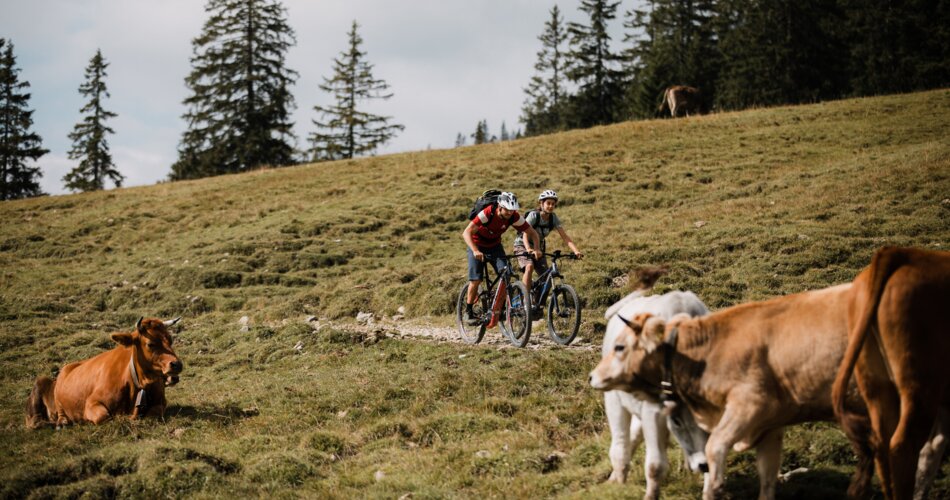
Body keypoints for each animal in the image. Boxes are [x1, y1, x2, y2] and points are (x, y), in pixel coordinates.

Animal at [25, 316, 184, 430]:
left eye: (170, 339)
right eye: (150, 344)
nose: (177, 364)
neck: (138, 384)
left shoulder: (161, 402)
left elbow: (153, 413)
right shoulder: (91, 403)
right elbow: (104, 416)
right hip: (57, 398)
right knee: (60, 414)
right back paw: (62, 422)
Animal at [608, 290, 712, 500]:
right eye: (677, 420)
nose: (702, 464)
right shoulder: (654, 413)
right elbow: (655, 466)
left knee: (634, 434)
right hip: (614, 400)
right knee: (620, 442)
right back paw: (618, 480)